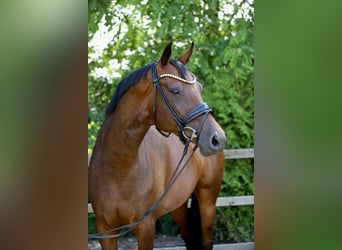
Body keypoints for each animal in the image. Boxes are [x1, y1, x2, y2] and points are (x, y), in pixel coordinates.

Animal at [89, 42, 226, 249]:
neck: (118, 168)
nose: (217, 138)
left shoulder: (146, 226)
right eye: (175, 90)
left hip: (208, 202)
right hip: (179, 205)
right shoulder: (105, 230)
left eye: (200, 89)